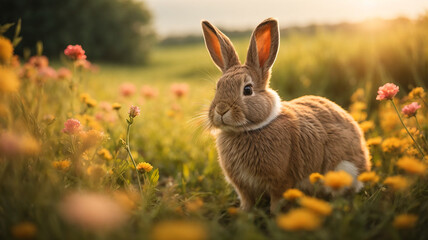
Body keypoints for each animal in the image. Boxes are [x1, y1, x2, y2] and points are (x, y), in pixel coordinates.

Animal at [201, 18, 372, 212]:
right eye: (217, 88)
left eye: (247, 90)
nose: (221, 109)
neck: (248, 130)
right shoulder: (242, 186)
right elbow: (247, 200)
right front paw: (244, 212)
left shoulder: (280, 180)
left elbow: (277, 199)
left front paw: (276, 214)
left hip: (342, 168)